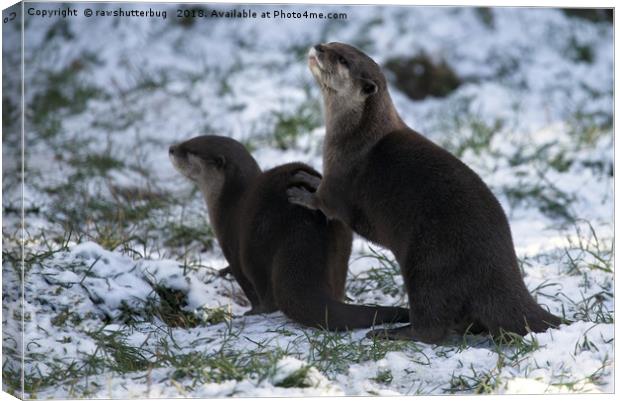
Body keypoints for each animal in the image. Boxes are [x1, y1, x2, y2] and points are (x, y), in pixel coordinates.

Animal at [170, 134, 412, 328]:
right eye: (191, 139)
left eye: (189, 150)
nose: (171, 148)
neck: (226, 202)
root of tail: (302, 223)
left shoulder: (229, 242)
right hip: (343, 238)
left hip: (255, 243)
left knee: (265, 289)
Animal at [288, 43, 564, 344]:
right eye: (333, 44)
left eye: (342, 59)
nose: (319, 47)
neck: (355, 137)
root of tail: (501, 273)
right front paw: (306, 177)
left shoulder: (341, 177)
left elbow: (325, 202)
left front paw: (300, 194)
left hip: (427, 263)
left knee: (432, 325)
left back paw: (391, 332)